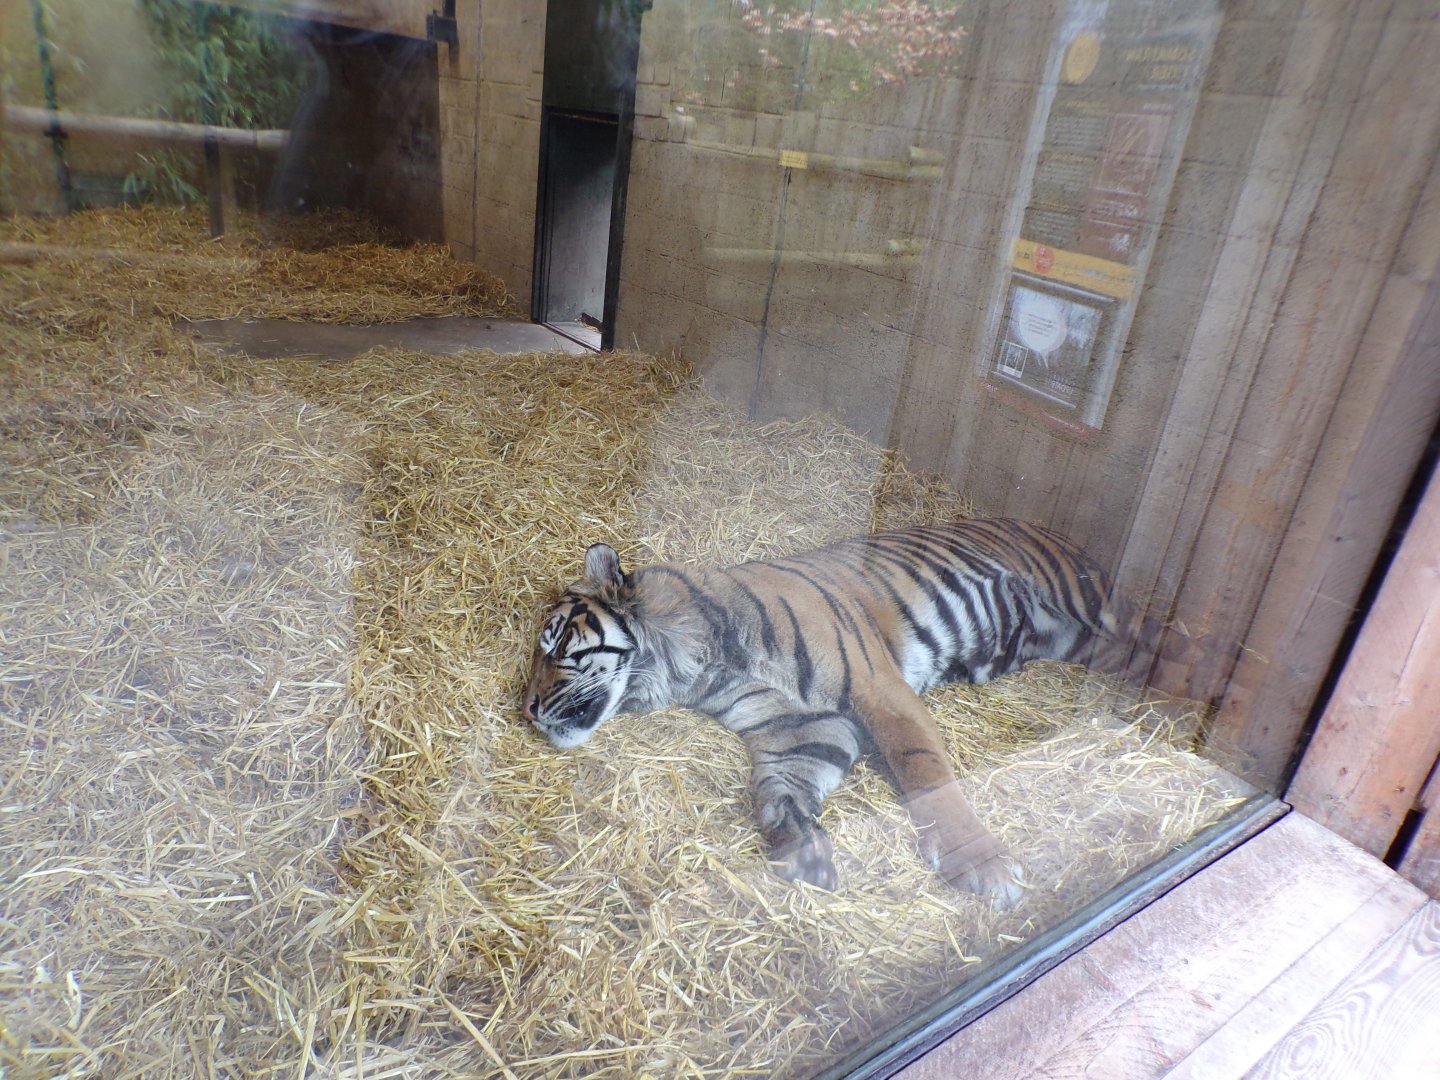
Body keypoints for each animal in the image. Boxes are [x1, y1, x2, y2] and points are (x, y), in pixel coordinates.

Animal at [522, 518, 1153, 909]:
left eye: (554, 645)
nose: (527, 707)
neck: (699, 663)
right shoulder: (798, 726)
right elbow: (779, 783)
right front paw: (800, 844)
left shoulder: (880, 690)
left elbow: (926, 773)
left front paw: (983, 866)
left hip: (1090, 605)